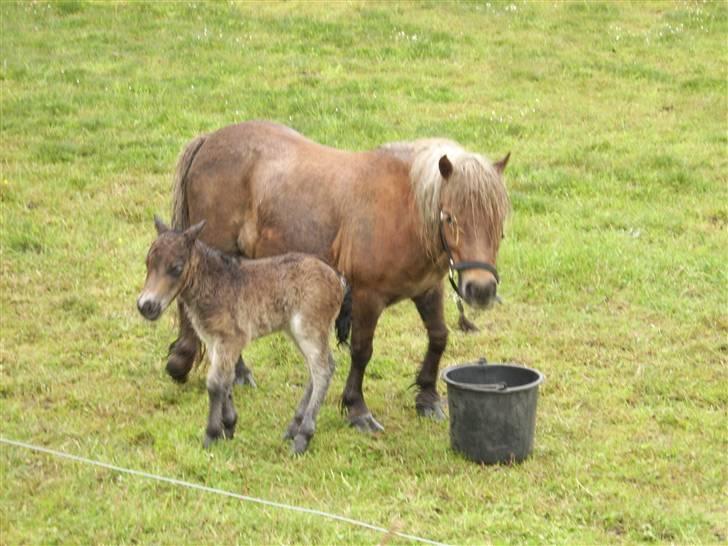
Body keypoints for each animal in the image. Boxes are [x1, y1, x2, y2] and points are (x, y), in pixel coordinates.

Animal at [140, 216, 352, 450]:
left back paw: (302, 437)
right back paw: (292, 428)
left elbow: (215, 383)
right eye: (148, 263)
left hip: (309, 328)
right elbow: (226, 380)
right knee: (319, 368)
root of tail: (338, 279)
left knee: (322, 371)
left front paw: (211, 435)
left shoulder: (231, 339)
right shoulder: (214, 342)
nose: (146, 306)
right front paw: (229, 425)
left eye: (176, 268)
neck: (215, 284)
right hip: (298, 331)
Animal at [166, 119, 510, 430]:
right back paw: (182, 363)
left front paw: (427, 399)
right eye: (450, 218)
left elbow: (438, 337)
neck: (404, 211)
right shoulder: (367, 296)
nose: (481, 289)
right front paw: (357, 409)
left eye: (499, 220)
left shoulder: (427, 289)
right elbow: (362, 350)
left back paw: (237, 373)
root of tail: (209, 139)